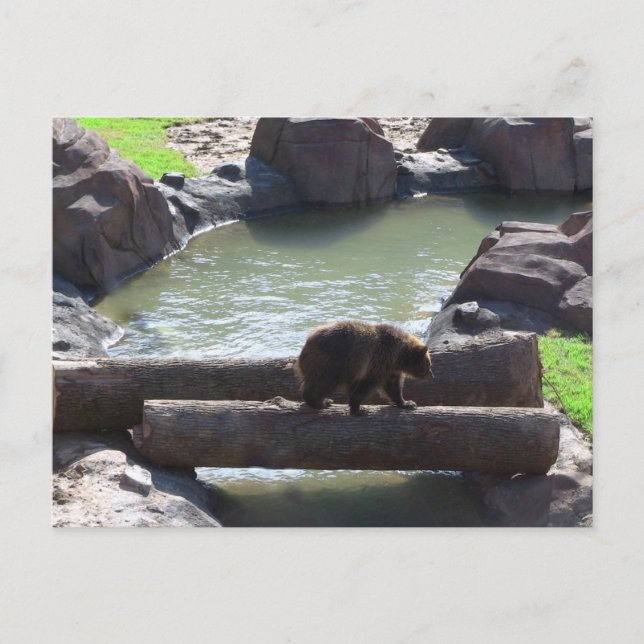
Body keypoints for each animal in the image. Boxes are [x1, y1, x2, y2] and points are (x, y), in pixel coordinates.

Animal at [294, 320, 432, 415]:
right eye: (428, 364)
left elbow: (393, 387)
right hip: (331, 362)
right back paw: (321, 402)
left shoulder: (389, 368)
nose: (430, 374)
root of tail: (306, 345)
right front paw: (359, 409)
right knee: (323, 383)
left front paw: (407, 403)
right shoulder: (378, 360)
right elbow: (366, 384)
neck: (398, 356)